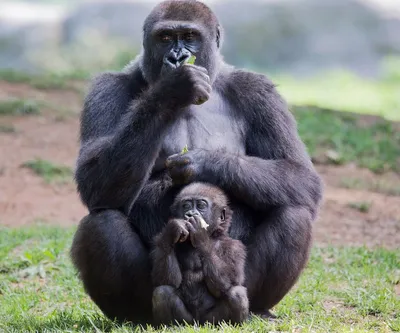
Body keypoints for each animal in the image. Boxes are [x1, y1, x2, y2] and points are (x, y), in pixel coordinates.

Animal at [151, 182, 248, 324]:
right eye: (186, 206)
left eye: (201, 205)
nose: (190, 214)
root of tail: (198, 323)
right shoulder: (159, 241)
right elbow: (166, 280)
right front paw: (173, 229)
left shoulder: (235, 247)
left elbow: (229, 282)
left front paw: (200, 234)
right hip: (187, 320)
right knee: (162, 292)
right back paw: (170, 325)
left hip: (210, 321)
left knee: (237, 294)